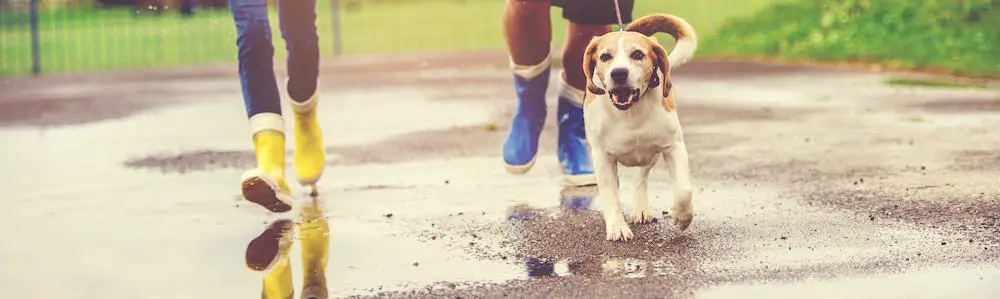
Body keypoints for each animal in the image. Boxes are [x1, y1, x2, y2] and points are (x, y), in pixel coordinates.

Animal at [584, 14, 700, 244]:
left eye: (637, 54)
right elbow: (611, 196)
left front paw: (683, 216)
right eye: (605, 57)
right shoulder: (603, 158)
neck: (631, 111)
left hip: (650, 154)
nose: (619, 73)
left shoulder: (674, 147)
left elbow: (684, 189)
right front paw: (617, 228)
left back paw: (641, 209)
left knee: (641, 178)